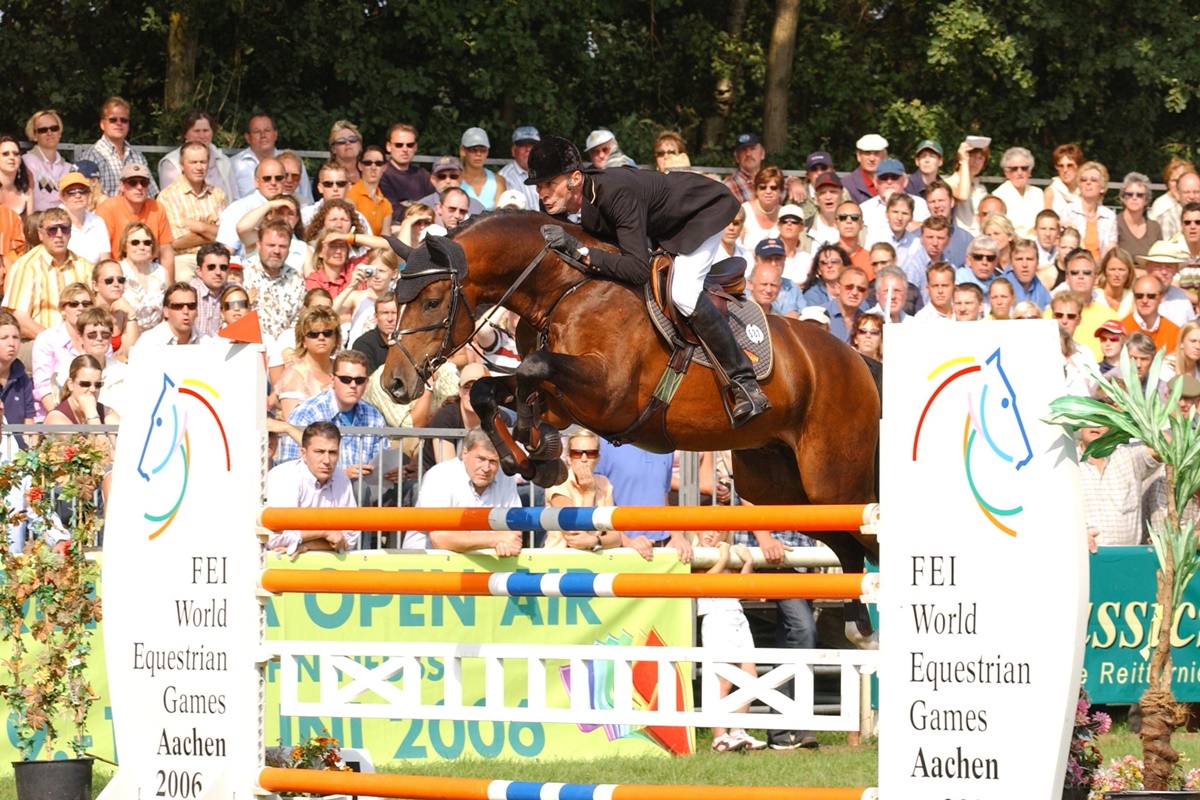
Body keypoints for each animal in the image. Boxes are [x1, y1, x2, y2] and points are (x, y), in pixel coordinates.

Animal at [384, 211, 881, 635]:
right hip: (780, 489)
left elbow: (532, 369)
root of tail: (858, 359)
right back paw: (860, 624)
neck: (566, 289)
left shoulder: (606, 393)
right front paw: (533, 459)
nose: (394, 383)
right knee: (849, 546)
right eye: (394, 301)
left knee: (868, 535)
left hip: (832, 483)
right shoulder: (566, 402)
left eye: (431, 302)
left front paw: (535, 441)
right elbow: (489, 391)